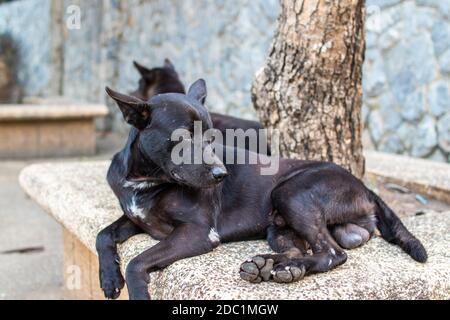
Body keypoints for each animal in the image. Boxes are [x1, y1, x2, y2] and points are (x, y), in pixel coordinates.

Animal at [96, 80, 428, 300]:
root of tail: (363, 186)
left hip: (291, 191)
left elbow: (137, 261)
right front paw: (109, 277)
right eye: (184, 137)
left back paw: (281, 267)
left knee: (332, 254)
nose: (221, 174)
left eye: (211, 137)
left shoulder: (197, 232)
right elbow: (103, 235)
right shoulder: (135, 218)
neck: (145, 180)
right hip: (279, 227)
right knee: (304, 250)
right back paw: (272, 266)